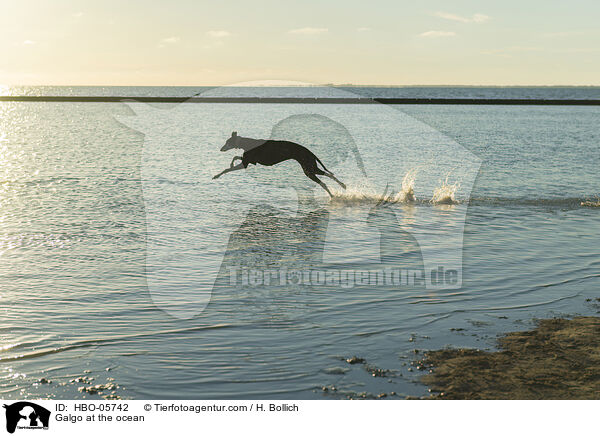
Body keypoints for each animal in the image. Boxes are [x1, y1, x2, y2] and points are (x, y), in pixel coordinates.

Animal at [214, 130, 346, 197]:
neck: (246, 143)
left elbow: (227, 168)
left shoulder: (246, 163)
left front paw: (216, 175)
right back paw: (342, 186)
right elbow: (235, 157)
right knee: (328, 176)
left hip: (308, 169)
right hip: (310, 167)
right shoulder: (248, 161)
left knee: (324, 181)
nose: (221, 149)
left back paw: (334, 193)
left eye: (227, 142)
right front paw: (230, 165)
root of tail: (309, 151)